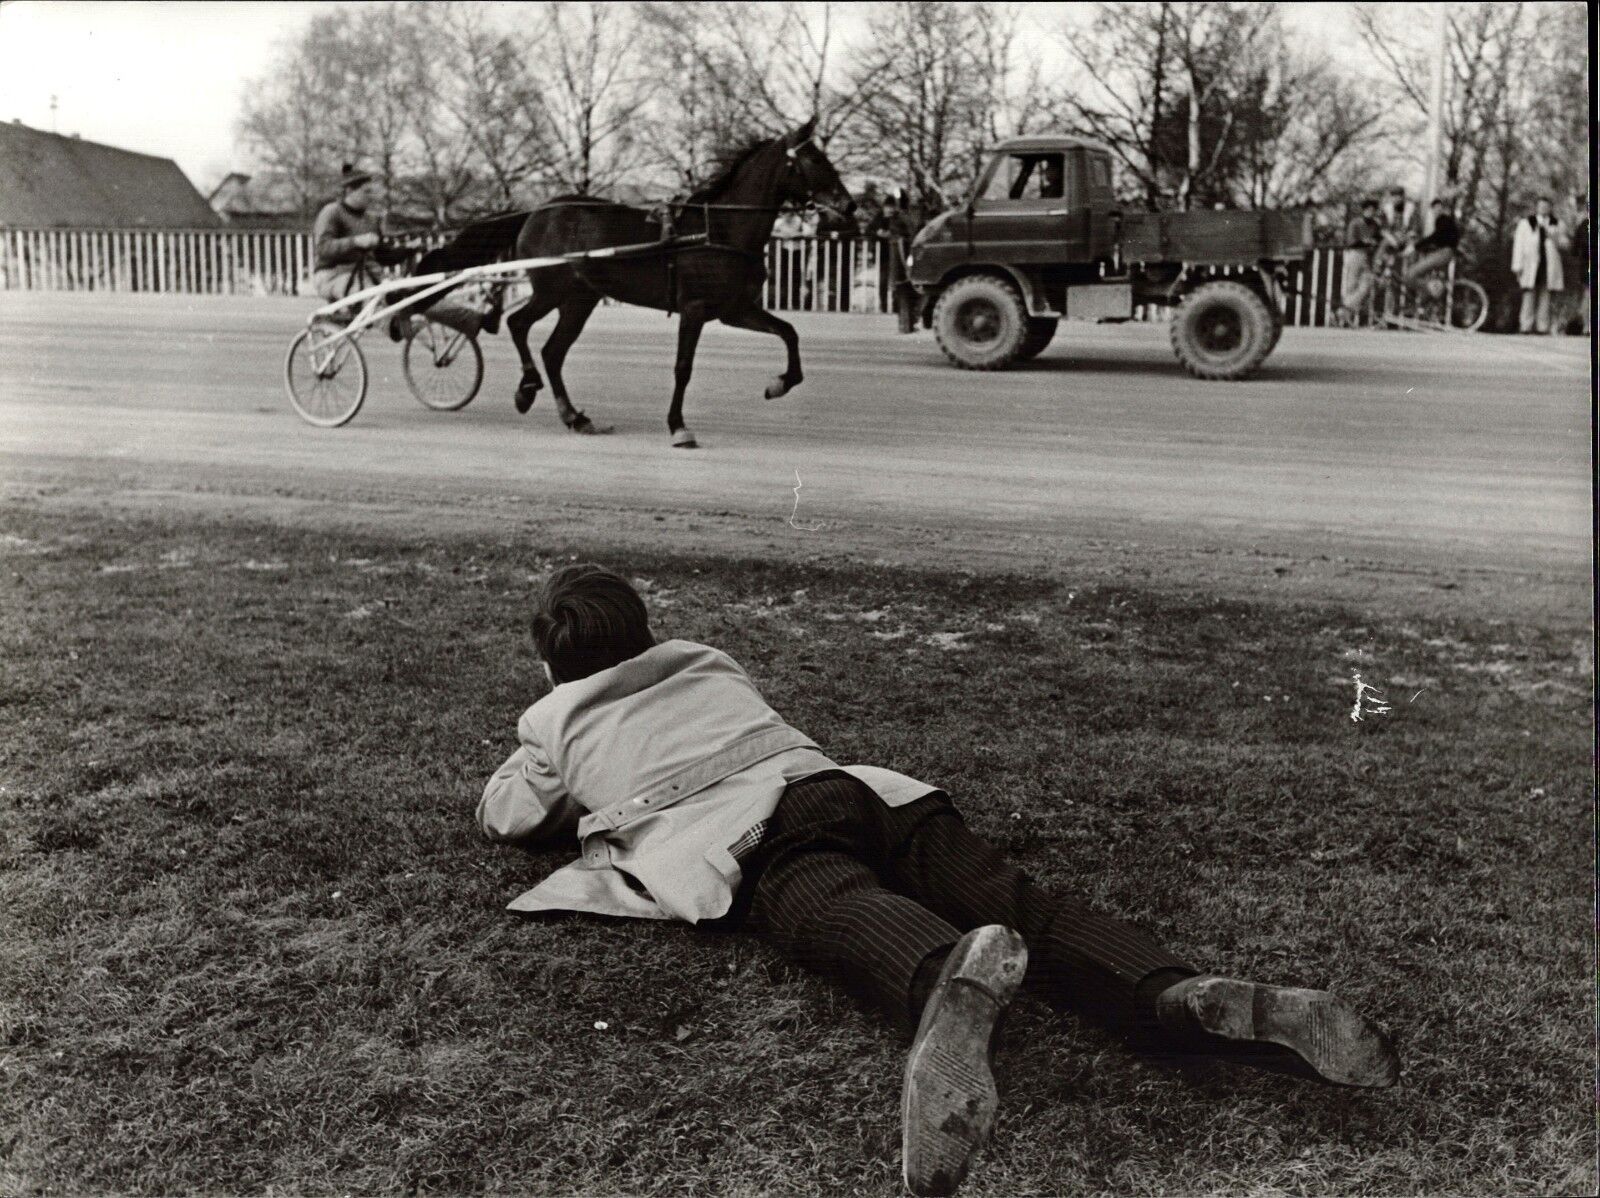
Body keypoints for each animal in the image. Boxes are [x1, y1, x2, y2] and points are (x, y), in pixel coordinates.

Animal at [412, 119, 851, 447]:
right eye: (813, 158)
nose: (849, 204)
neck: (719, 229)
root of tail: (536, 211)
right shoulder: (694, 309)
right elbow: (683, 367)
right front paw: (678, 427)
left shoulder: (735, 309)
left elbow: (789, 332)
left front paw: (779, 384)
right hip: (554, 288)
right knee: (518, 324)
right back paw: (528, 387)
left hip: (580, 299)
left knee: (553, 351)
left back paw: (574, 416)